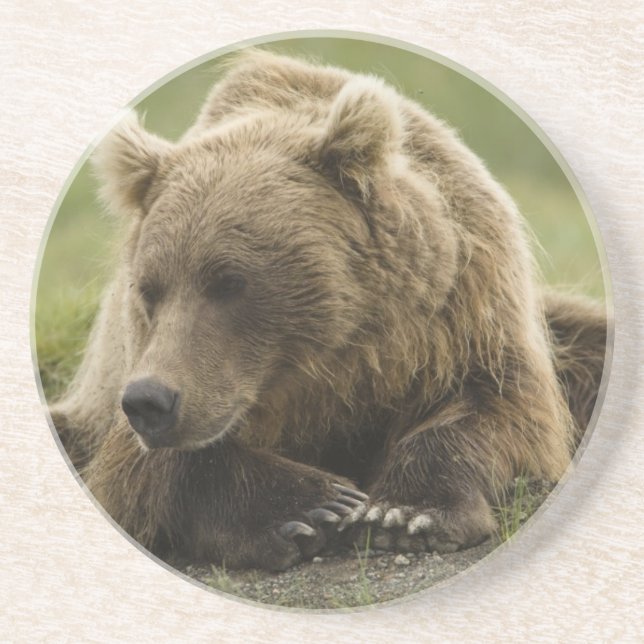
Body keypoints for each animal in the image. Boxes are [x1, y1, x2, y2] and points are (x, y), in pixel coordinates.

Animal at [48, 48, 607, 572]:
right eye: (149, 288)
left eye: (229, 282)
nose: (151, 400)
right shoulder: (135, 375)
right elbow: (145, 469)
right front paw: (314, 507)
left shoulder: (463, 313)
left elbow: (501, 410)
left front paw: (405, 514)